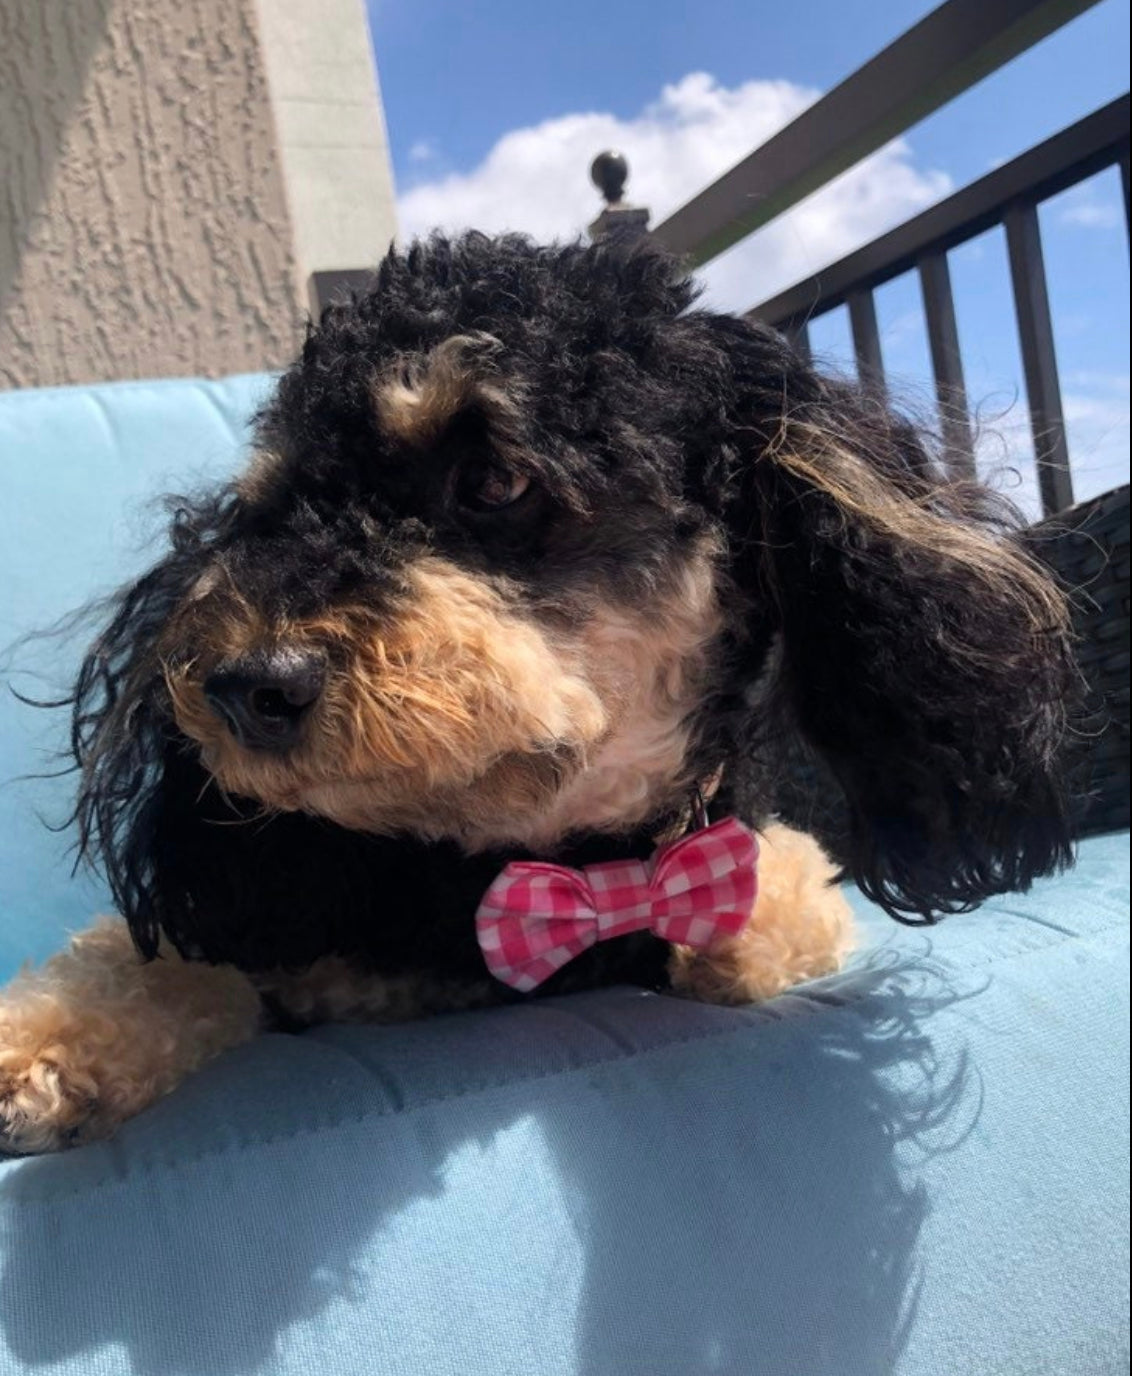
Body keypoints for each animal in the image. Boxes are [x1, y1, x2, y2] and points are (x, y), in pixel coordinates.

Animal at [0, 233, 1078, 1150]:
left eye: (493, 480)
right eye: (272, 509)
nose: (239, 685)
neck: (553, 865)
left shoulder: (781, 869)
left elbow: (756, 909)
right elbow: (144, 958)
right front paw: (37, 1049)